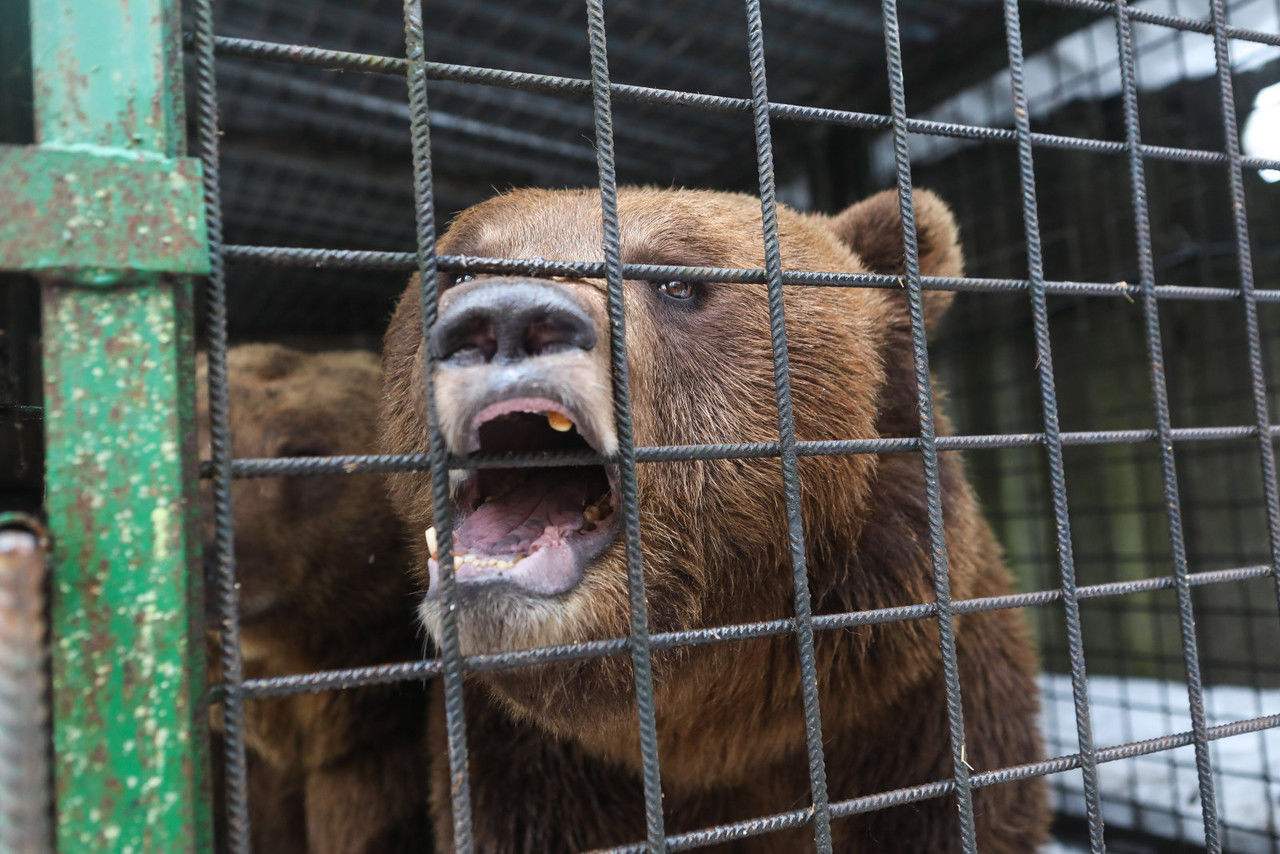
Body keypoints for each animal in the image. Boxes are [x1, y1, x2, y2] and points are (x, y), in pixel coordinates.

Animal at [376, 190, 1049, 850]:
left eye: (676, 281)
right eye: (462, 268)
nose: (508, 317)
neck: (718, 727)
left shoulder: (924, 723)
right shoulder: (529, 776)